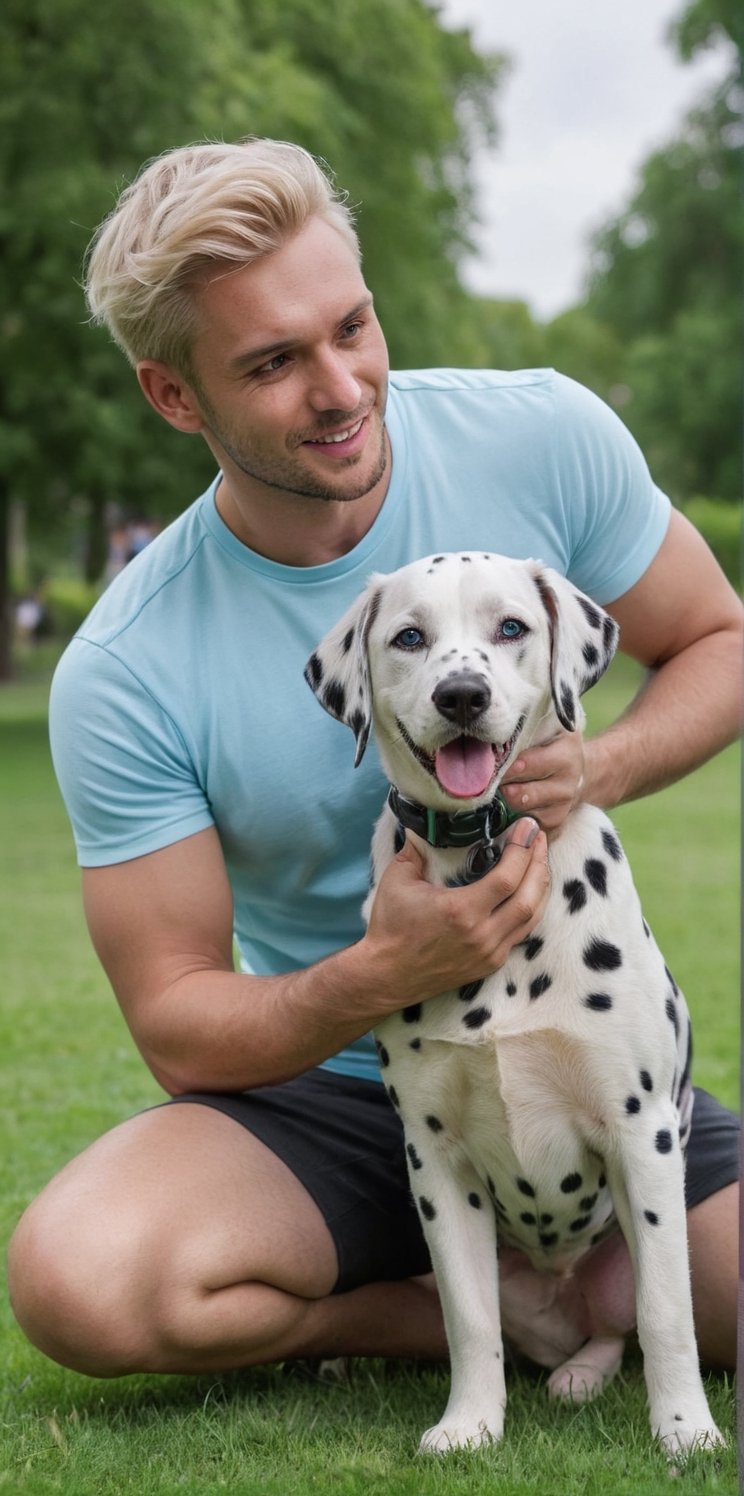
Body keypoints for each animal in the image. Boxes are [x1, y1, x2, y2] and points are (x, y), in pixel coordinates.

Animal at [302, 556, 718, 1454]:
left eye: (512, 627)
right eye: (409, 637)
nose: (461, 693)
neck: (480, 854)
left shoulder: (641, 1133)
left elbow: (666, 1313)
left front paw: (685, 1430)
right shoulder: (436, 1157)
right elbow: (470, 1320)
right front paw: (469, 1425)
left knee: (620, 1326)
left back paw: (585, 1376)